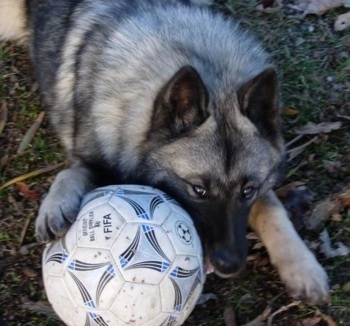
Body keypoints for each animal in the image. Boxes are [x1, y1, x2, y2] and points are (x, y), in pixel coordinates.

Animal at [0, 0, 330, 306]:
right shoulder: (91, 157)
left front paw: (303, 267)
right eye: (198, 190)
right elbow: (72, 171)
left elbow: (274, 211)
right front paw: (57, 203)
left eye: (248, 191)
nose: (229, 264)